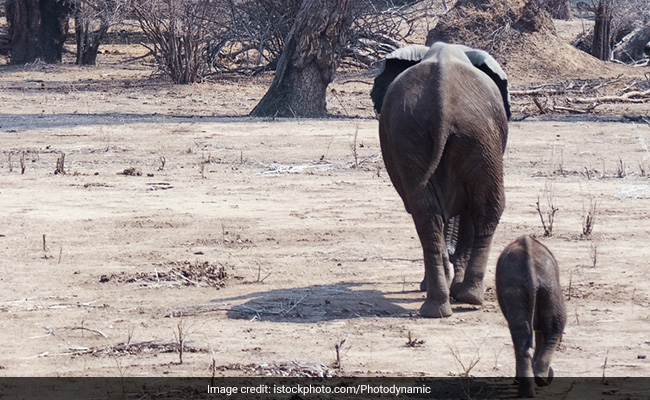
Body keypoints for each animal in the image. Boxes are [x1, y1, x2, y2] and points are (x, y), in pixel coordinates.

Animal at [371, 42, 510, 318]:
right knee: (481, 209)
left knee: (429, 214)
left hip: (441, 132)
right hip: (471, 133)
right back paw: (464, 298)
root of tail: (442, 98)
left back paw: (447, 303)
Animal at [495, 235, 566, 398]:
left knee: (524, 332)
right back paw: (537, 382)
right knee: (545, 329)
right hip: (544, 288)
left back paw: (534, 383)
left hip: (541, 288)